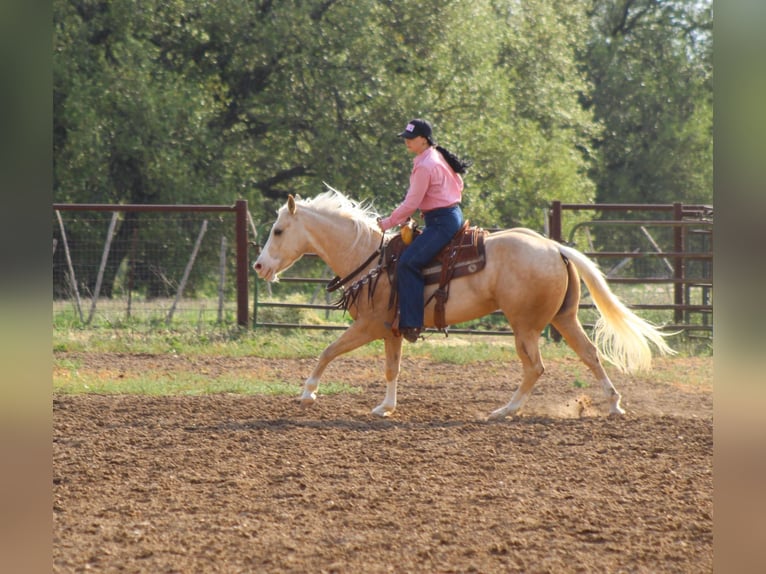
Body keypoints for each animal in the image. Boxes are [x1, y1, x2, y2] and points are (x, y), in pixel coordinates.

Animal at [253, 188, 675, 419]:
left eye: (278, 230)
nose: (259, 265)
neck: (370, 258)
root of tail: (555, 247)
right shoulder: (391, 330)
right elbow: (392, 369)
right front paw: (385, 407)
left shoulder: (369, 326)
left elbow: (328, 351)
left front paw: (308, 392)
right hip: (563, 319)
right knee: (589, 355)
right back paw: (614, 405)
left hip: (525, 326)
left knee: (534, 367)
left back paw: (506, 410)